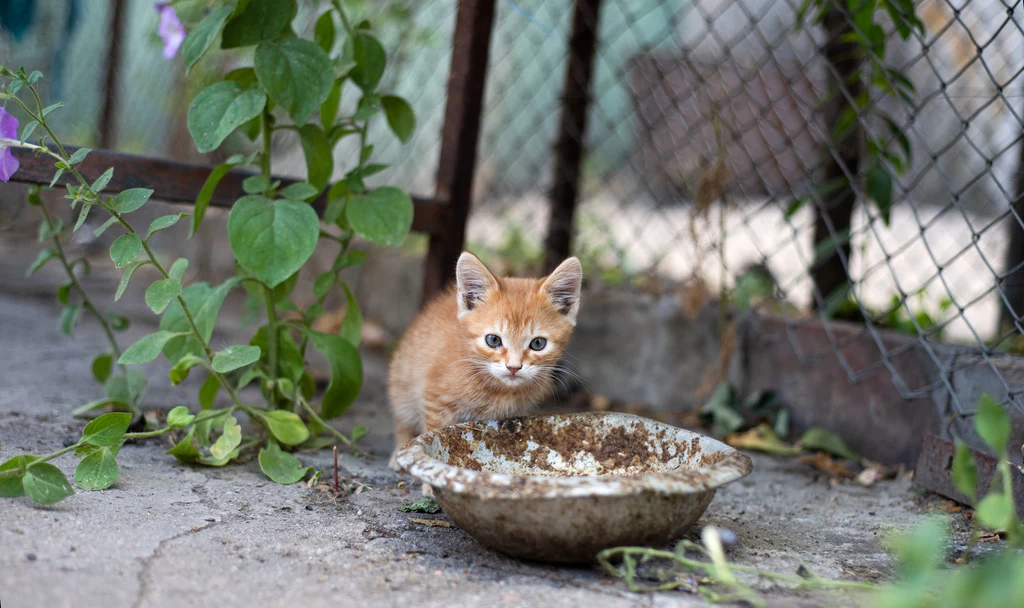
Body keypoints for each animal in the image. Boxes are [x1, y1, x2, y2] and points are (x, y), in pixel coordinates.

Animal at [389, 248, 585, 466]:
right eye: (493, 340)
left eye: (538, 344)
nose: (514, 367)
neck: (500, 391)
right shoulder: (434, 401)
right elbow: (432, 436)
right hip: (403, 385)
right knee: (403, 422)